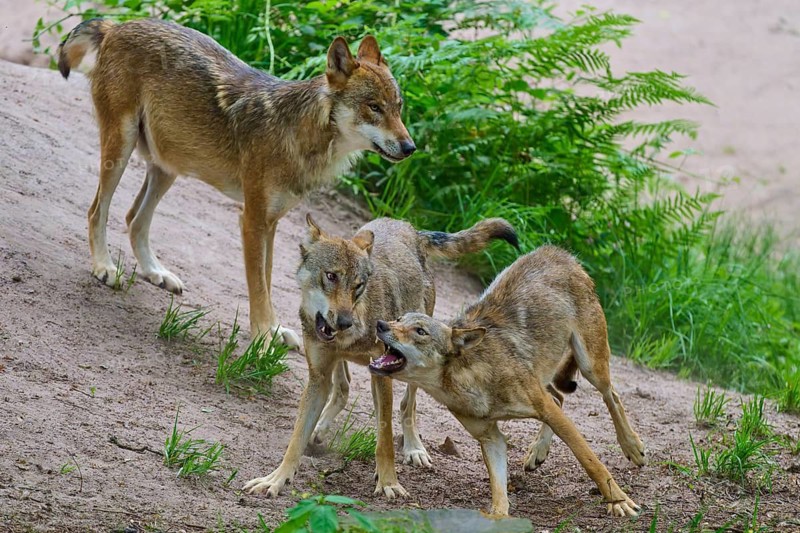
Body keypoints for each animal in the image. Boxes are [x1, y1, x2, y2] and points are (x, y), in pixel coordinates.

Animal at [58, 18, 415, 346]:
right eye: (374, 108)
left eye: (399, 109)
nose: (410, 147)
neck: (299, 134)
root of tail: (117, 25)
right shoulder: (252, 220)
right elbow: (258, 287)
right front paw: (263, 337)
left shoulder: (272, 223)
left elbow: (267, 282)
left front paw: (274, 330)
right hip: (121, 149)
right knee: (97, 210)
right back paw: (104, 267)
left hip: (168, 167)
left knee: (134, 219)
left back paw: (155, 273)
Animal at [243, 214, 518, 498]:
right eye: (331, 276)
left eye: (358, 285)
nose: (344, 322)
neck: (352, 333)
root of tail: (408, 227)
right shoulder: (318, 375)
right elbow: (296, 438)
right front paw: (275, 479)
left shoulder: (383, 374)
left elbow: (385, 438)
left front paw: (388, 483)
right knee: (343, 388)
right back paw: (320, 430)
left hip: (413, 364)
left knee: (407, 406)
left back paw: (413, 448)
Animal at [370, 245, 646, 516]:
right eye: (398, 319)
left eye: (420, 331)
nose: (380, 323)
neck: (470, 378)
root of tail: (560, 252)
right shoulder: (491, 438)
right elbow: (499, 495)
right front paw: (499, 516)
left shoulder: (543, 408)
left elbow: (591, 461)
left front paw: (619, 502)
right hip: (549, 379)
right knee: (560, 397)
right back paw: (537, 453)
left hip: (590, 366)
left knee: (611, 395)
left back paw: (632, 447)